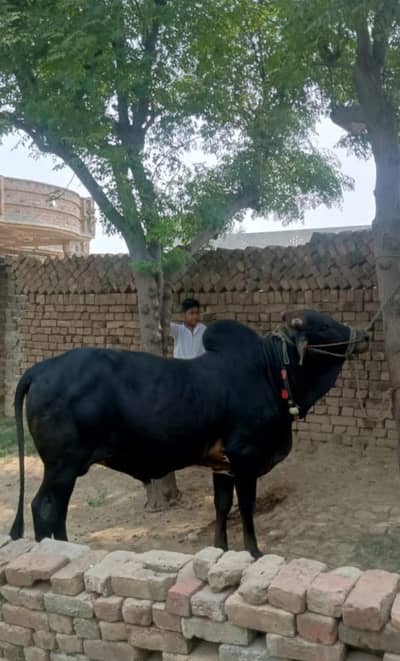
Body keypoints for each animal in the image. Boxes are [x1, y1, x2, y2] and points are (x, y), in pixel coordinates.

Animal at [10, 309, 369, 558]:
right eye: (323, 326)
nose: (363, 335)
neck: (271, 371)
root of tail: (42, 368)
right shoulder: (245, 457)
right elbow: (247, 507)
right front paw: (254, 552)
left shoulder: (222, 465)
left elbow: (222, 506)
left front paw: (220, 549)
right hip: (62, 465)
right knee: (43, 508)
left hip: (67, 469)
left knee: (58, 511)